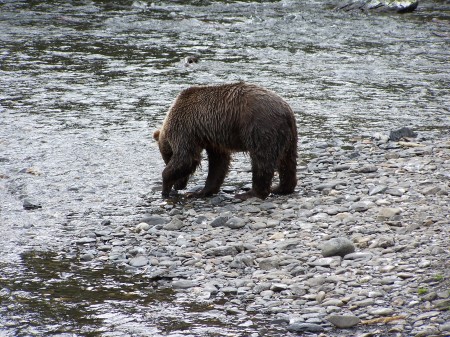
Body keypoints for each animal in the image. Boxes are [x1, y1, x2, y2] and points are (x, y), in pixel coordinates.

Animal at [153, 82, 298, 200]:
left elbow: (186, 158)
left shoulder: (186, 130)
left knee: (262, 161)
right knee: (287, 161)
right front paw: (200, 192)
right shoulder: (213, 140)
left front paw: (166, 187)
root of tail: (287, 111)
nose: (180, 186)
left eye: (167, 158)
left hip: (260, 128)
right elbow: (218, 164)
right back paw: (280, 188)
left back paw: (250, 193)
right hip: (288, 136)